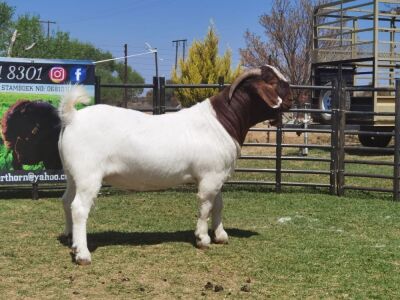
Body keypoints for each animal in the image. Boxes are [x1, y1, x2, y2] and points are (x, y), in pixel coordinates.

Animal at [58, 65, 290, 264]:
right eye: (272, 81)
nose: (292, 100)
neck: (222, 121)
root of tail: (73, 117)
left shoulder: (217, 175)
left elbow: (218, 204)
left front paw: (221, 235)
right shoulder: (210, 176)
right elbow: (205, 206)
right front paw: (203, 239)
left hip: (72, 173)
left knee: (66, 200)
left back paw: (71, 239)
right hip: (88, 175)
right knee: (79, 208)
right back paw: (82, 254)